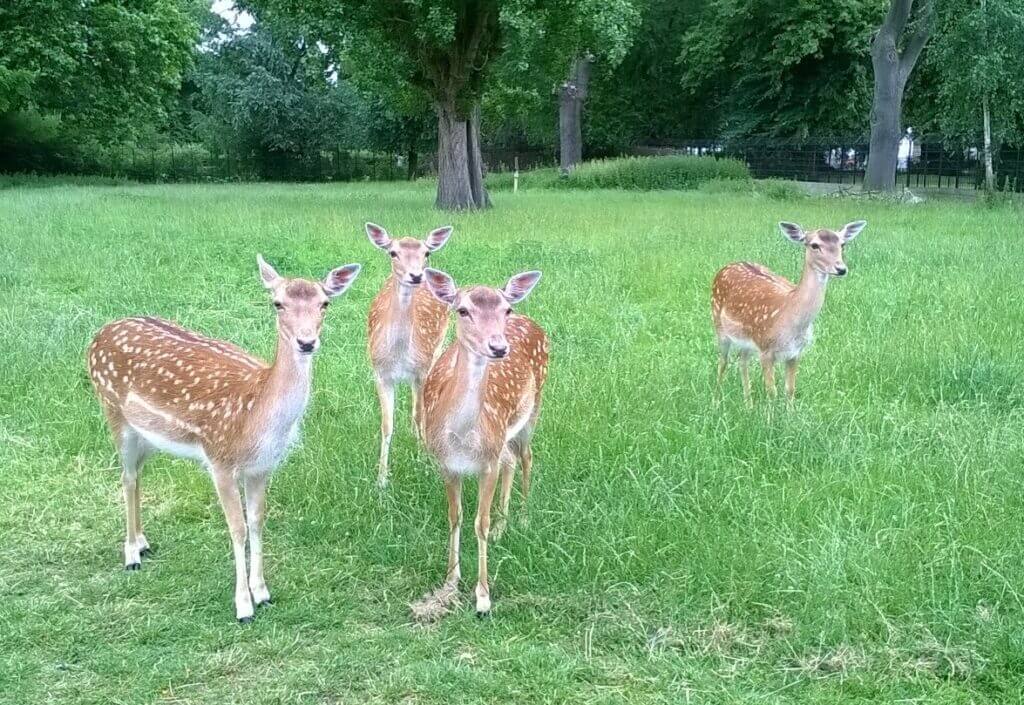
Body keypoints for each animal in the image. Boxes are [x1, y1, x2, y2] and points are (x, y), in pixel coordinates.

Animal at [86, 256, 362, 618]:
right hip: (113, 410)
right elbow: (237, 528)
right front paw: (243, 606)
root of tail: (97, 335)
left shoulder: (263, 467)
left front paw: (263, 592)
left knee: (137, 474)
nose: (306, 342)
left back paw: (143, 542)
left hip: (148, 436)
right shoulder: (219, 460)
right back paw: (131, 554)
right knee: (127, 476)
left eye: (324, 303)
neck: (254, 418)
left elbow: (257, 521)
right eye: (277, 303)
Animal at [364, 223, 452, 487]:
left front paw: (423, 462)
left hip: (437, 346)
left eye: (426, 253)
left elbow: (419, 413)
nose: (416, 275)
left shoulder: (420, 370)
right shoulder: (380, 373)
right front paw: (381, 479)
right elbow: (386, 425)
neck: (399, 354)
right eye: (393, 252)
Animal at [411, 266, 548, 618]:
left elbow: (480, 523)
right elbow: (455, 517)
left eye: (505, 309)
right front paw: (450, 580)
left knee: (527, 457)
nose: (498, 347)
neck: (462, 439)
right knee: (511, 460)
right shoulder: (446, 464)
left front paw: (483, 598)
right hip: (505, 437)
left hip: (533, 410)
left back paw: (523, 518)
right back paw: (504, 524)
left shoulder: (487, 464)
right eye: (462, 310)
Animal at [712, 220, 864, 407]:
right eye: (814, 245)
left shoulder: (795, 353)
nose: (841, 268)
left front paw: (790, 413)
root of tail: (726, 267)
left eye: (842, 244)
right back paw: (716, 402)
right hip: (719, 325)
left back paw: (748, 405)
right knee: (723, 361)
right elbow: (772, 392)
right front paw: (770, 415)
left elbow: (790, 390)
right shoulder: (765, 349)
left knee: (742, 361)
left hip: (746, 341)